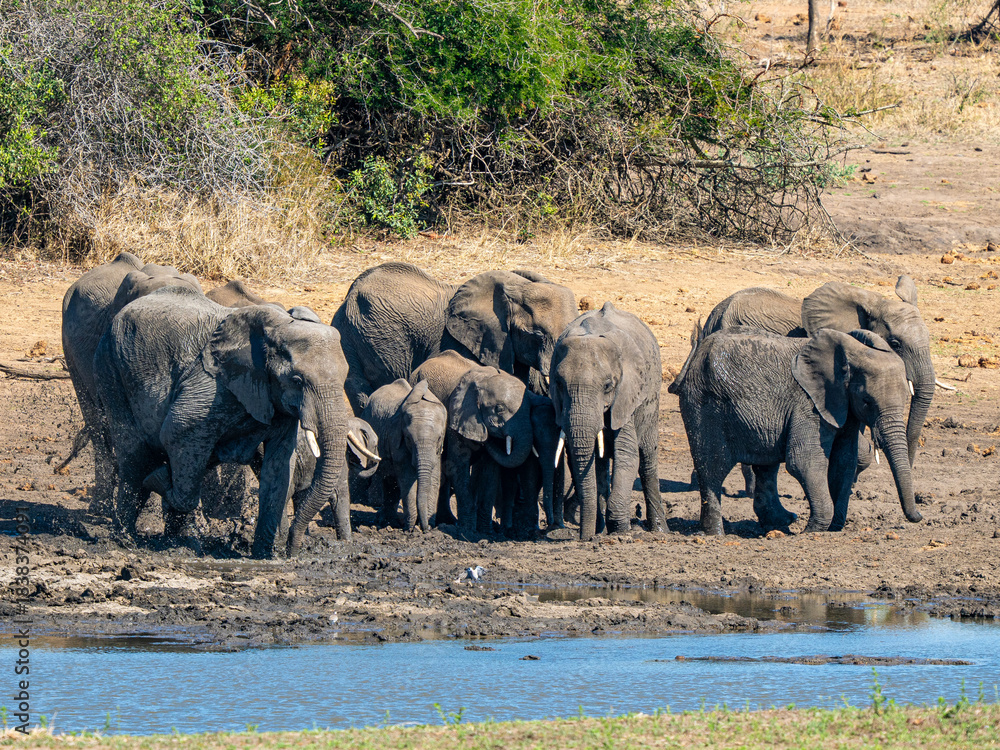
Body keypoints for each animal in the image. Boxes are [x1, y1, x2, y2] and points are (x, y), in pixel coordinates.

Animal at [94, 284, 352, 558]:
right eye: (297, 380)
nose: (292, 549)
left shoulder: (278, 403)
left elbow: (279, 468)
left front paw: (264, 558)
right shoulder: (211, 383)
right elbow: (177, 431)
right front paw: (158, 478)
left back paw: (173, 541)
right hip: (109, 367)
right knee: (136, 455)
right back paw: (127, 540)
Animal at [356, 379, 447, 532]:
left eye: (439, 438)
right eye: (408, 438)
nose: (426, 528)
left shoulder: (437, 450)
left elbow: (434, 477)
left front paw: (426, 526)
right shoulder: (396, 438)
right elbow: (407, 478)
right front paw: (410, 529)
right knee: (389, 479)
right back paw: (386, 522)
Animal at [410, 350, 533, 536]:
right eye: (499, 409)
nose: (488, 439)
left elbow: (490, 473)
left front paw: (485, 531)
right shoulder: (456, 417)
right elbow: (458, 466)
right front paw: (467, 531)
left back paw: (448, 521)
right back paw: (447, 522)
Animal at [550, 302, 665, 540]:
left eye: (608, 386)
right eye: (559, 384)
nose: (583, 538)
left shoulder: (627, 393)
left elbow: (628, 454)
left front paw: (620, 531)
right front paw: (603, 530)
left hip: (652, 400)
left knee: (647, 459)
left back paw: (660, 530)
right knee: (602, 467)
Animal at [669, 325, 923, 535]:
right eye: (867, 401)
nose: (919, 516)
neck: (850, 353)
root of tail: (696, 354)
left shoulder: (844, 409)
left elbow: (843, 463)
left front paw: (835, 527)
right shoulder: (808, 404)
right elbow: (804, 462)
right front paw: (813, 530)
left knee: (766, 465)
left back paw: (780, 522)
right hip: (703, 404)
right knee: (713, 467)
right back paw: (715, 534)